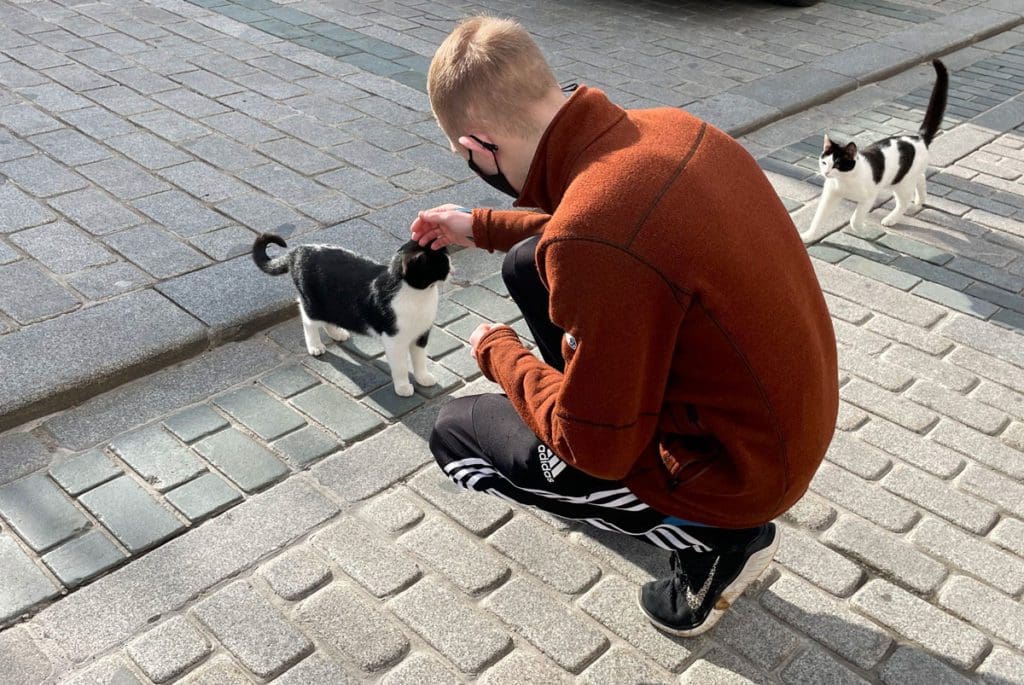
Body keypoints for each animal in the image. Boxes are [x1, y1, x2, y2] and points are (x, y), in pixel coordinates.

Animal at [251, 235, 448, 395]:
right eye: (442, 265)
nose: (451, 267)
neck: (420, 296)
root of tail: (299, 250)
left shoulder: (421, 334)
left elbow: (420, 358)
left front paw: (423, 377)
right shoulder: (394, 340)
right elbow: (400, 366)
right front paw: (403, 387)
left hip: (331, 302)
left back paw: (337, 333)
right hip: (313, 304)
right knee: (307, 319)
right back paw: (315, 346)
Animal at [798, 59, 950, 242]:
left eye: (838, 164)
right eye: (824, 162)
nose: (826, 173)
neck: (843, 181)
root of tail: (919, 137)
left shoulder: (868, 198)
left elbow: (855, 219)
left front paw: (864, 230)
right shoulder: (829, 197)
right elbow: (817, 218)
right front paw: (807, 236)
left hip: (902, 183)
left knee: (904, 201)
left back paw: (891, 219)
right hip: (903, 177)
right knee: (921, 178)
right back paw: (920, 200)